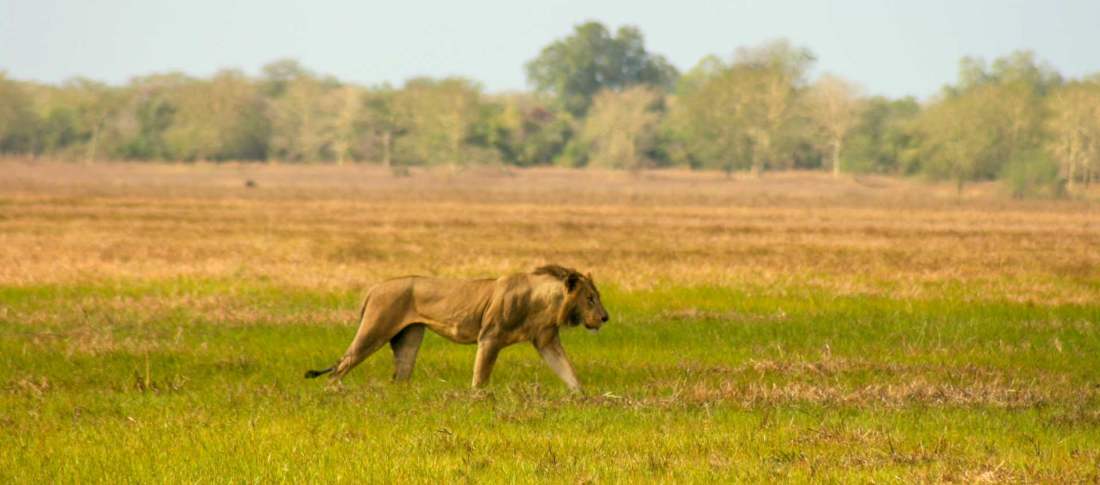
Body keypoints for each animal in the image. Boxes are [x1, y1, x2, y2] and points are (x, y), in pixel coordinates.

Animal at [303, 262, 611, 391]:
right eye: (590, 298)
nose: (605, 318)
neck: (544, 302)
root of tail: (374, 287)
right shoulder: (489, 338)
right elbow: (481, 376)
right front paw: (477, 401)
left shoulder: (547, 342)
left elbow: (569, 373)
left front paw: (584, 398)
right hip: (374, 330)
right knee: (342, 365)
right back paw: (334, 392)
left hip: (409, 339)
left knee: (399, 375)